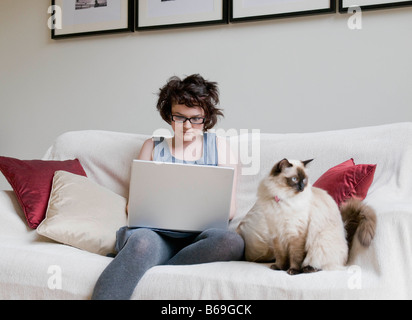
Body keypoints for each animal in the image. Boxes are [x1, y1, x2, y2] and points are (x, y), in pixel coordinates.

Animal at [238, 159, 376, 274]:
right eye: (294, 179)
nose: (302, 187)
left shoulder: (296, 234)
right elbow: (281, 256)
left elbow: (295, 256)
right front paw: (280, 267)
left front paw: (293, 270)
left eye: (304, 180)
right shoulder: (277, 234)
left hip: (320, 242)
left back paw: (307, 269)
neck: (282, 200)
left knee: (323, 264)